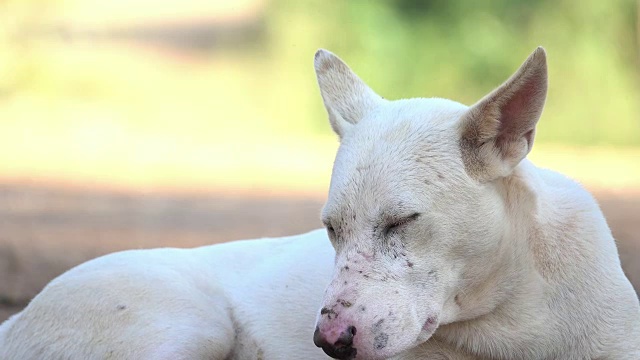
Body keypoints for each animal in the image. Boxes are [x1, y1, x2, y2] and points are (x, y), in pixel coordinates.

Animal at [1, 48, 640, 360]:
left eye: (403, 221)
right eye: (331, 229)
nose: (328, 344)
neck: (511, 316)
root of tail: (16, 319)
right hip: (190, 323)